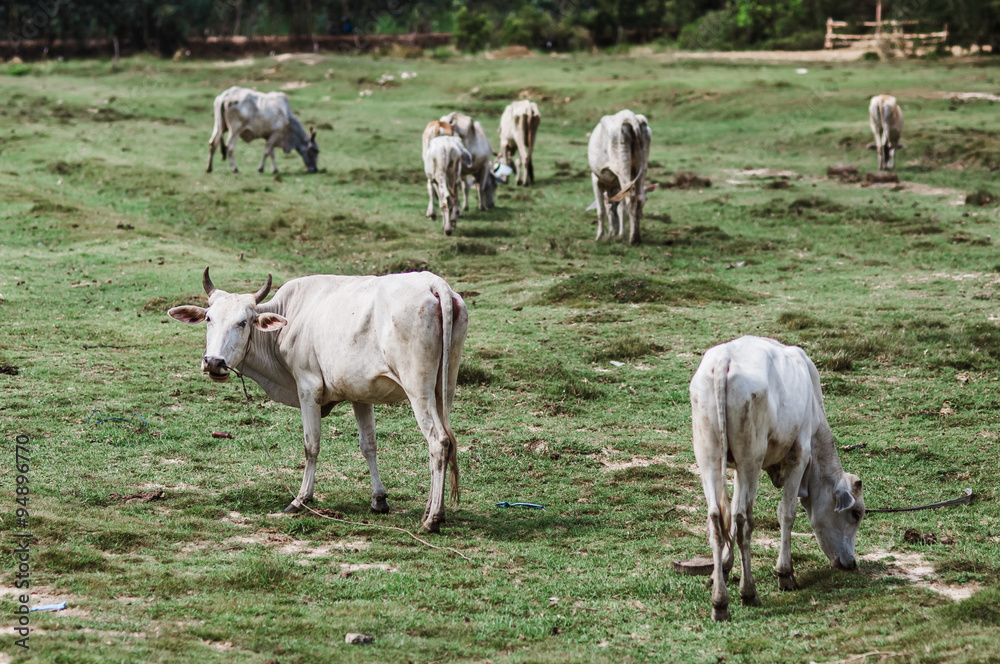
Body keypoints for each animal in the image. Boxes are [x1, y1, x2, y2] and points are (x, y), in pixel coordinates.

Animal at [168, 268, 468, 532]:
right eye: (209, 318)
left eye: (243, 322)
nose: (213, 362)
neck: (289, 318)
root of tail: (434, 284)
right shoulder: (360, 394)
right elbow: (369, 446)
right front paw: (379, 500)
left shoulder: (307, 387)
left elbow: (310, 445)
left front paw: (301, 499)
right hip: (444, 388)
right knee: (446, 441)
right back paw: (431, 510)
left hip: (418, 388)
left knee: (438, 441)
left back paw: (433, 519)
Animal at [588, 109, 652, 246]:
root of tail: (630, 116)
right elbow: (618, 209)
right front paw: (618, 234)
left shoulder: (596, 179)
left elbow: (601, 210)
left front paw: (600, 236)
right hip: (642, 167)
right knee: (638, 198)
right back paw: (636, 236)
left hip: (622, 166)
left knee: (631, 198)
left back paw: (633, 239)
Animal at [692, 338, 864, 624]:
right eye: (856, 513)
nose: (851, 563)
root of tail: (724, 358)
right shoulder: (799, 456)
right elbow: (787, 513)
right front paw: (786, 573)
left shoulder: (736, 469)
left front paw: (723, 569)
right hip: (751, 457)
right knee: (743, 520)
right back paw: (748, 592)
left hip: (710, 455)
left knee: (718, 520)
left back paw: (720, 603)